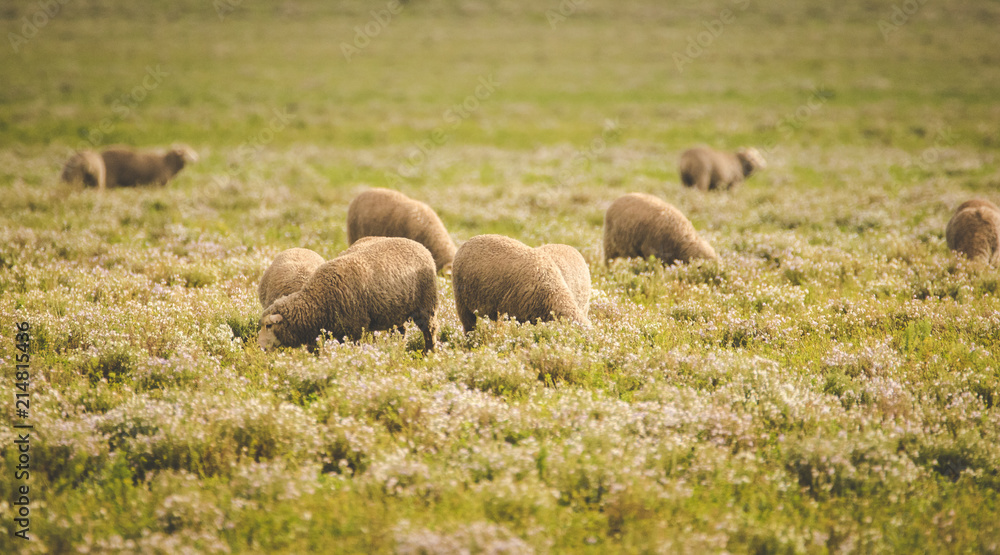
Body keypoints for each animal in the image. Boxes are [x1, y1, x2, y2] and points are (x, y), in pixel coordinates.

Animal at [258, 237, 439, 353]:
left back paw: (429, 353)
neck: (319, 299)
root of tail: (419, 245)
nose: (260, 347)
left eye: (269, 325)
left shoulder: (354, 328)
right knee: (400, 332)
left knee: (430, 330)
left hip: (426, 303)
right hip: (395, 310)